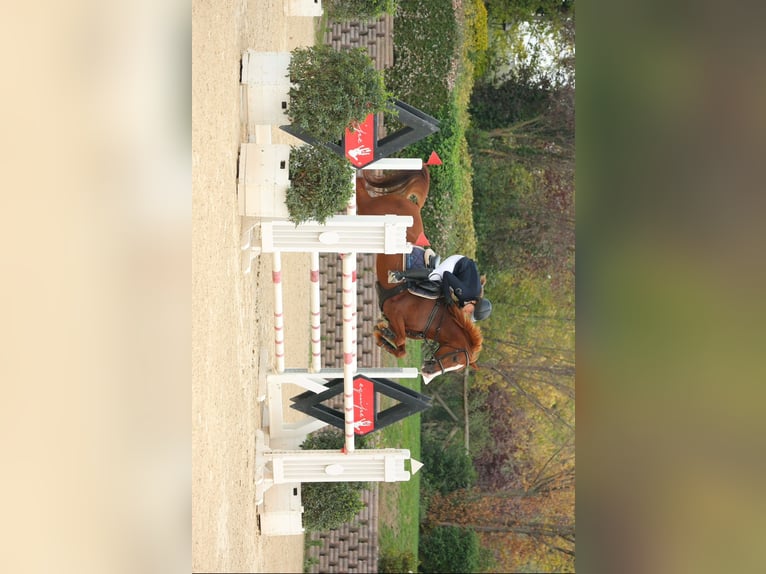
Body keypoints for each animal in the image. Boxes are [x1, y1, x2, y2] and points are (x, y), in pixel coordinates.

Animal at [356, 169, 486, 384]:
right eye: (455, 359)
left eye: (458, 367)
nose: (426, 374)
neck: (435, 320)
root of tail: (413, 205)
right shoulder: (395, 312)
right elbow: (399, 339)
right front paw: (383, 333)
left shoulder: (397, 322)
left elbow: (400, 348)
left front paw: (382, 336)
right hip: (368, 209)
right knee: (360, 190)